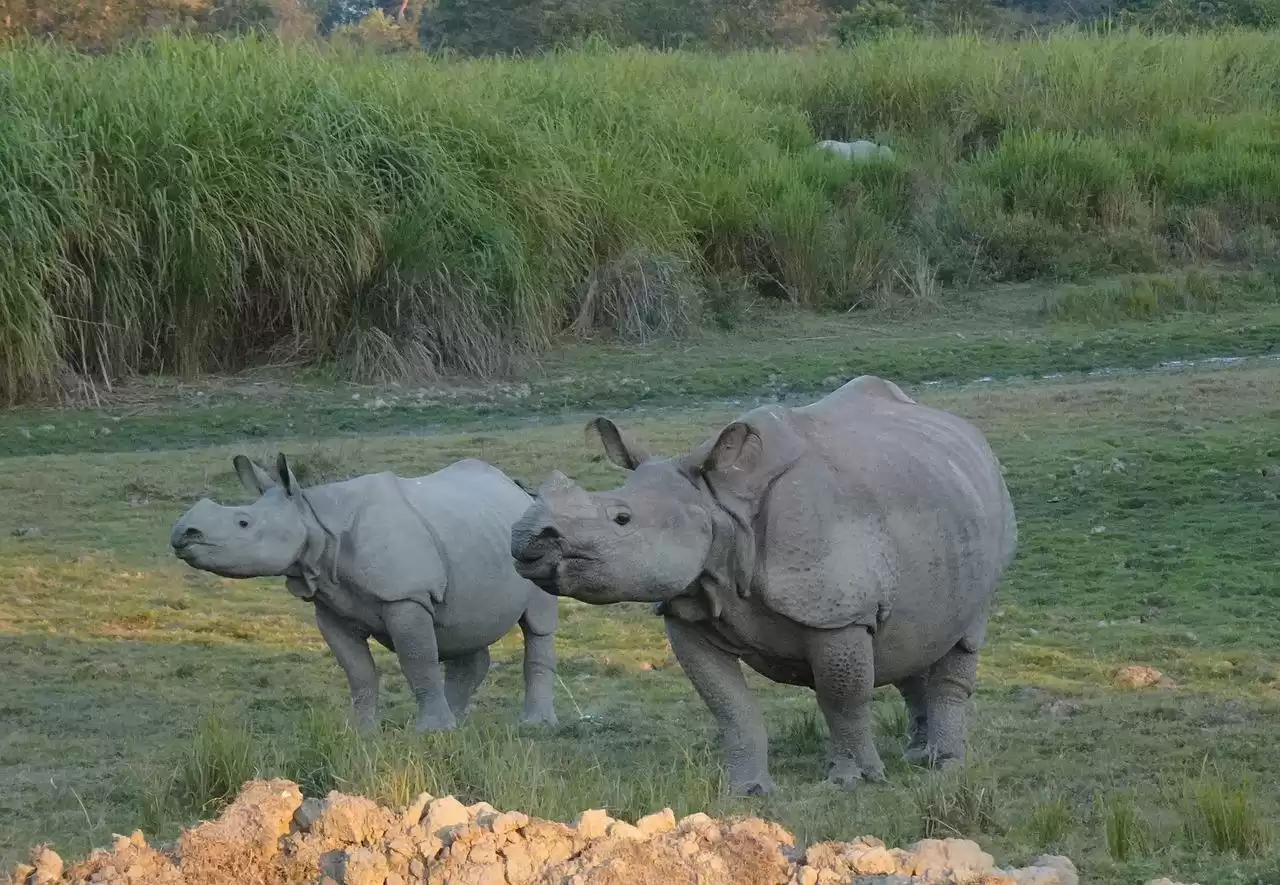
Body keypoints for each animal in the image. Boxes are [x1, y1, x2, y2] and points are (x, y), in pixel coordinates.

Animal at [171, 454, 559, 733]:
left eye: (243, 523)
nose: (181, 534)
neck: (313, 517)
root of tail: (517, 489)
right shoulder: (329, 607)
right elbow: (358, 672)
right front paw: (362, 733)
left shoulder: (405, 596)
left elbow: (417, 661)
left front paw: (431, 733)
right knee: (463, 628)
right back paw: (457, 720)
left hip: (538, 540)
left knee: (537, 626)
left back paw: (532, 725)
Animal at [510, 375, 1016, 795]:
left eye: (621, 518)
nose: (525, 540)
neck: (717, 505)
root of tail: (974, 440)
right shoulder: (689, 611)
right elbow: (731, 708)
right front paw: (748, 791)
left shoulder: (837, 614)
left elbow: (842, 697)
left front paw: (853, 780)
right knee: (909, 640)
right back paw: (916, 756)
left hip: (988, 523)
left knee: (961, 635)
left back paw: (943, 765)